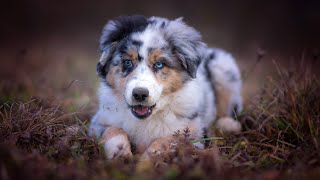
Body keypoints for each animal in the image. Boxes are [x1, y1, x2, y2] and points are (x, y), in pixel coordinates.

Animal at [88, 15, 242, 159]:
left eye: (159, 64)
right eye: (127, 62)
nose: (140, 94)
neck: (147, 119)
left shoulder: (194, 133)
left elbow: (166, 140)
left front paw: (145, 162)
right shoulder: (98, 123)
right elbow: (113, 130)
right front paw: (120, 155)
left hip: (223, 65)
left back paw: (228, 124)